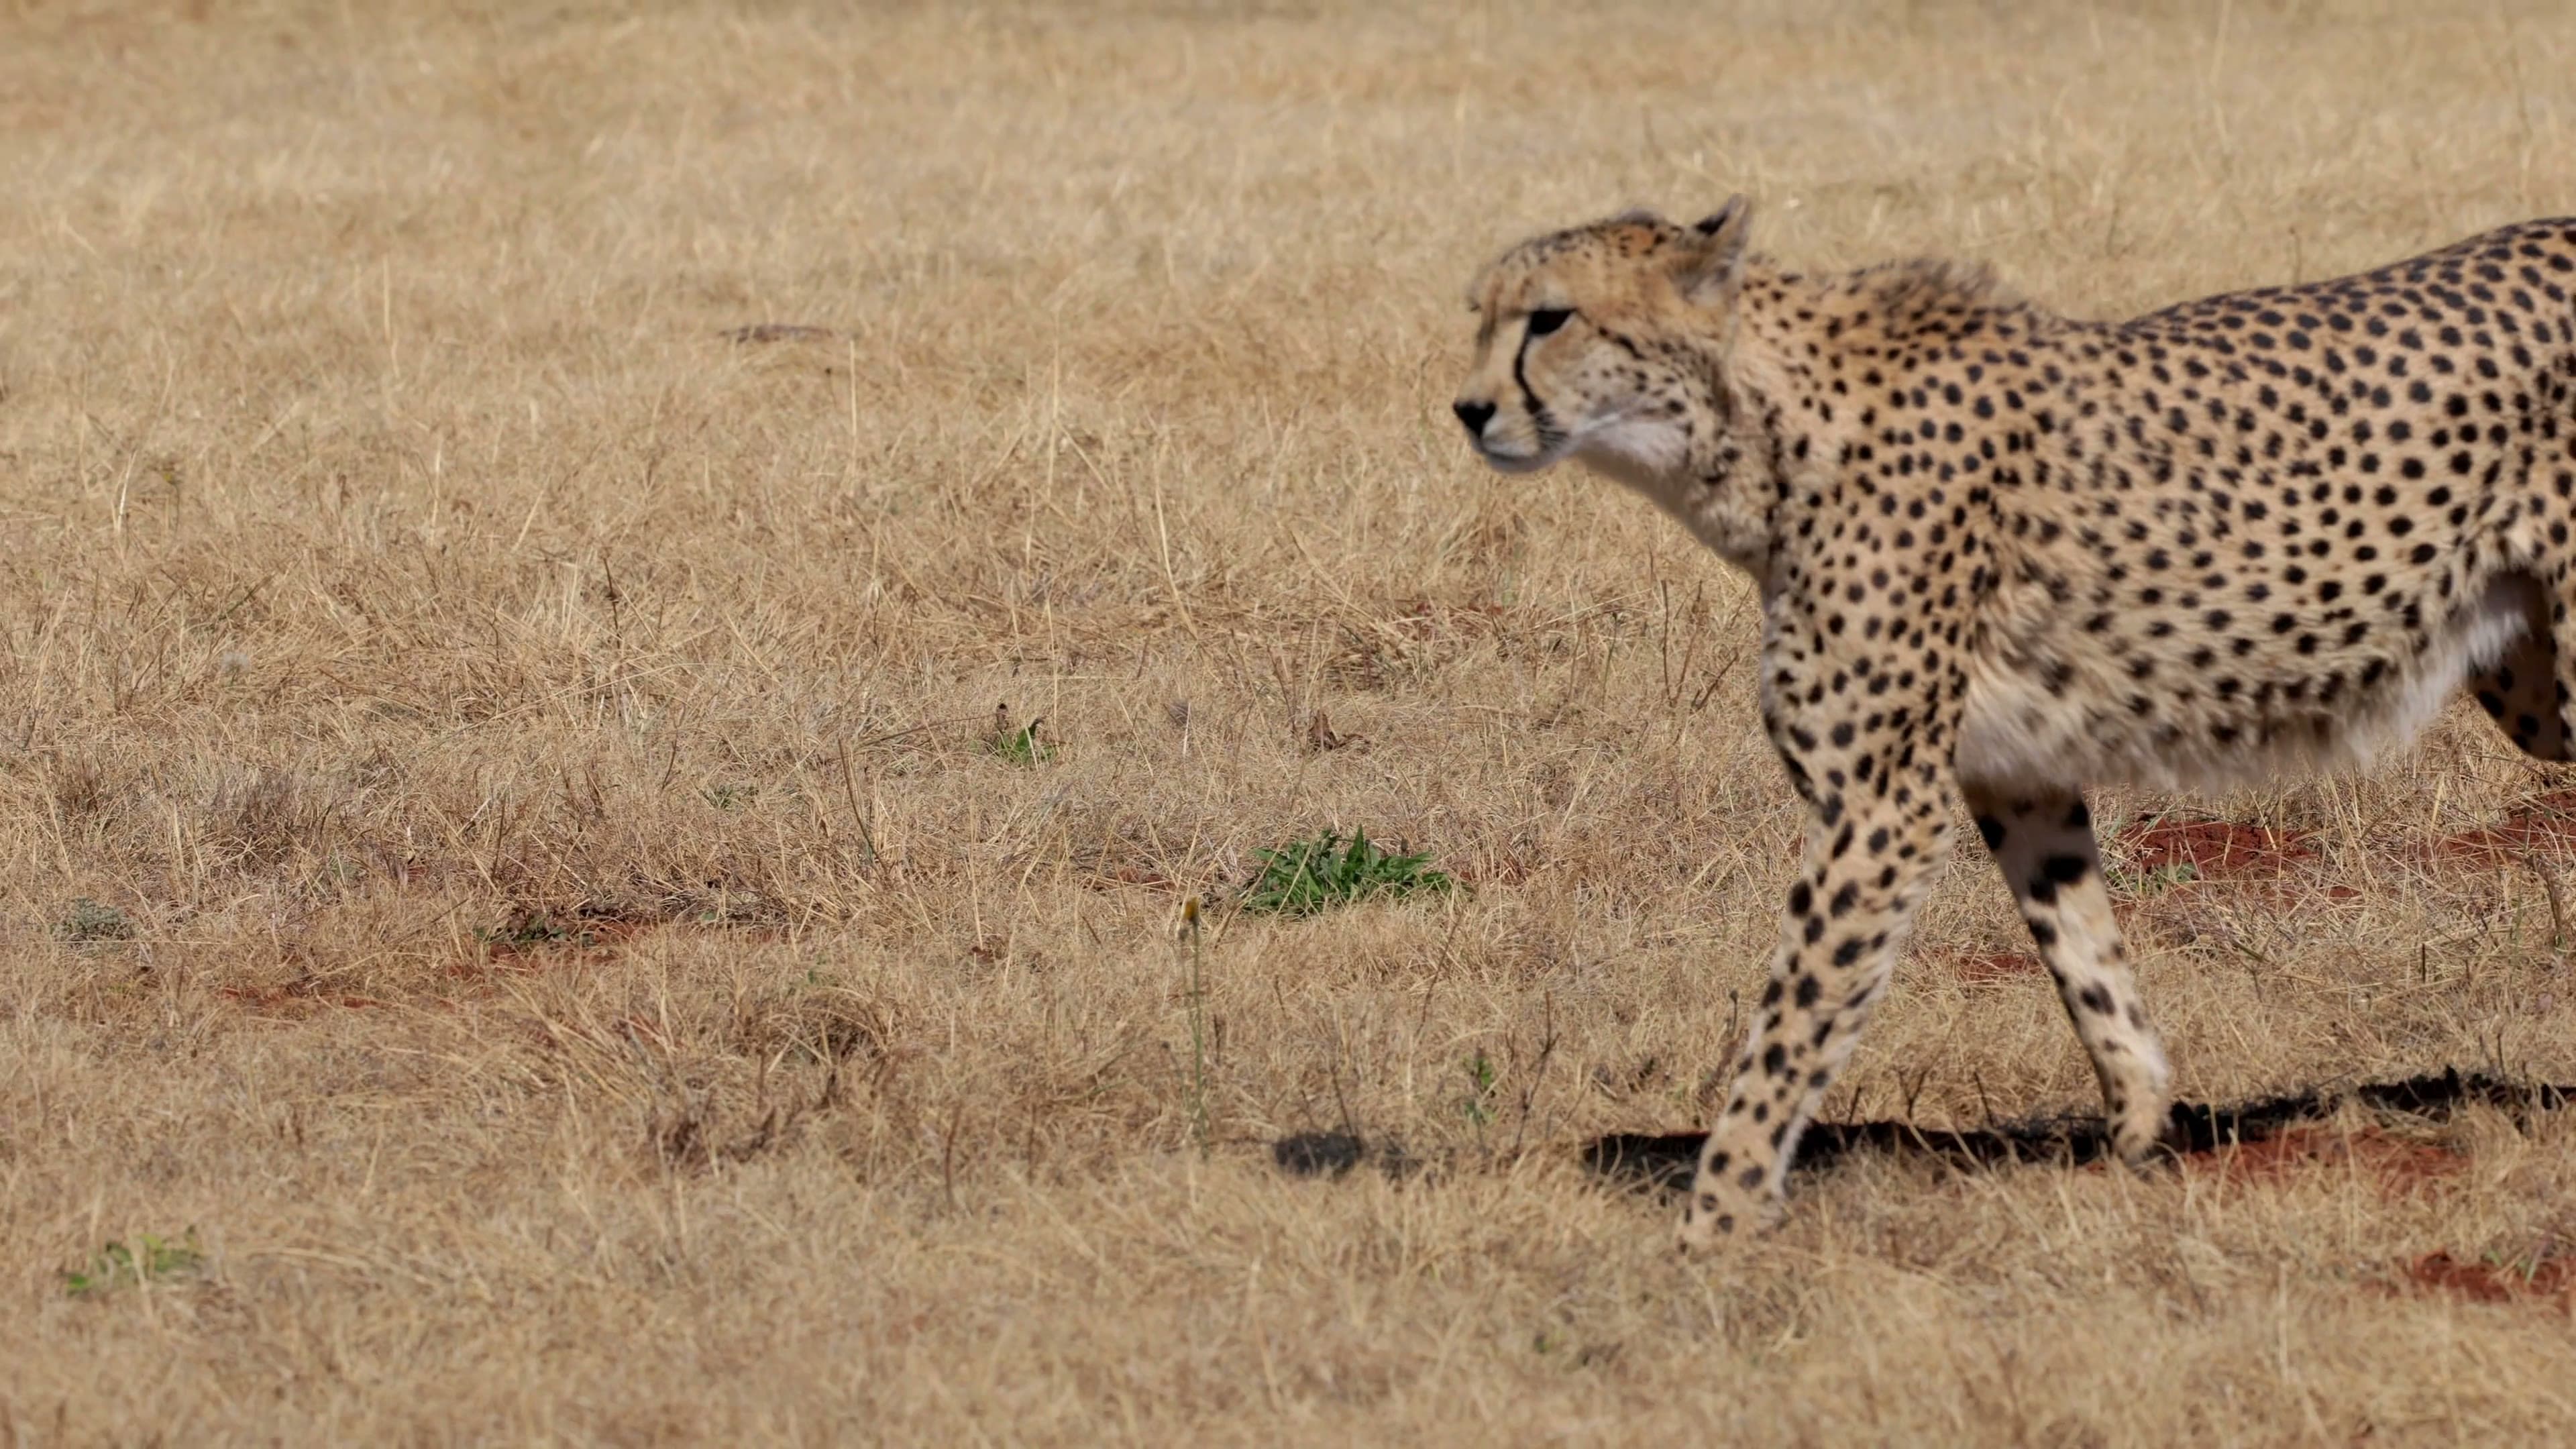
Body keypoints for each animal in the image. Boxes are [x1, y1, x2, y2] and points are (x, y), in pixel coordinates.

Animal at [1450, 195, 2576, 1251]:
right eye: (1483, 314)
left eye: (1551, 317)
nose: (1468, 410)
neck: (1761, 429)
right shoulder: (2014, 774)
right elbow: (2087, 961)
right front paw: (2137, 1137)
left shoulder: (1879, 806)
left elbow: (1790, 1027)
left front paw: (1714, 1220)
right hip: (2528, 679)